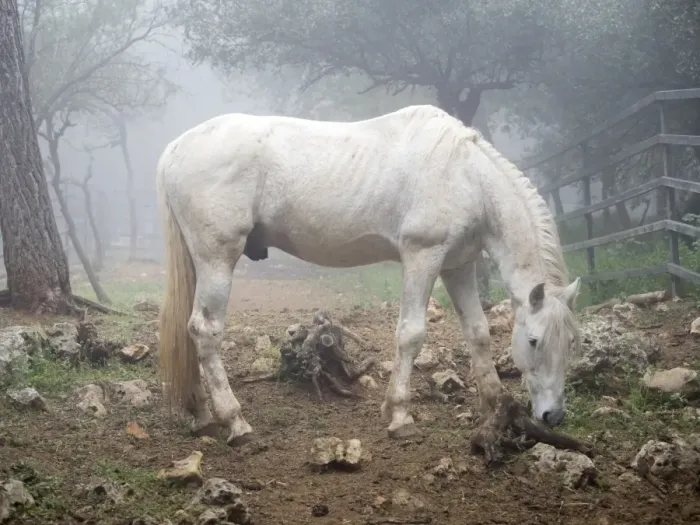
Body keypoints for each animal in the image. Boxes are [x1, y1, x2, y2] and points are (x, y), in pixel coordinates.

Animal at [156, 105, 582, 446]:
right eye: (534, 341)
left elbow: (477, 333)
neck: (466, 176)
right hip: (217, 258)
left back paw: (202, 415)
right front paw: (399, 416)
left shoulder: (457, 266)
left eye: (570, 343)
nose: (552, 416)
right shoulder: (422, 256)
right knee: (205, 331)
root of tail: (174, 150)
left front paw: (497, 406)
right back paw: (235, 422)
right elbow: (411, 335)